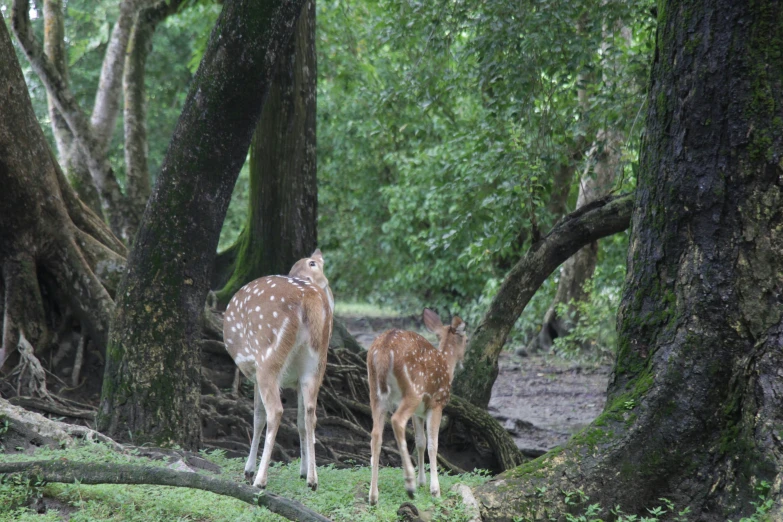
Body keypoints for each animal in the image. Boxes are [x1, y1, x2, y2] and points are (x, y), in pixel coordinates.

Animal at [222, 248, 332, 488]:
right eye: (312, 263)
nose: (325, 283)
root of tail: (309, 298)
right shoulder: (297, 380)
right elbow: (300, 420)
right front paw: (303, 471)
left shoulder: (254, 372)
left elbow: (257, 417)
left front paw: (248, 471)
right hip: (316, 364)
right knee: (311, 413)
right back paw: (313, 480)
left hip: (267, 356)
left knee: (275, 411)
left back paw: (260, 480)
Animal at [366, 308, 466, 504]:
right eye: (466, 339)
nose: (463, 362)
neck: (446, 365)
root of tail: (383, 350)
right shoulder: (436, 403)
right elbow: (433, 444)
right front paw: (434, 489)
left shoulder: (419, 412)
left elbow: (420, 442)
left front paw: (422, 481)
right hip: (413, 391)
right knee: (397, 421)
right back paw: (409, 483)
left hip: (375, 392)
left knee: (375, 434)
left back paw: (373, 496)